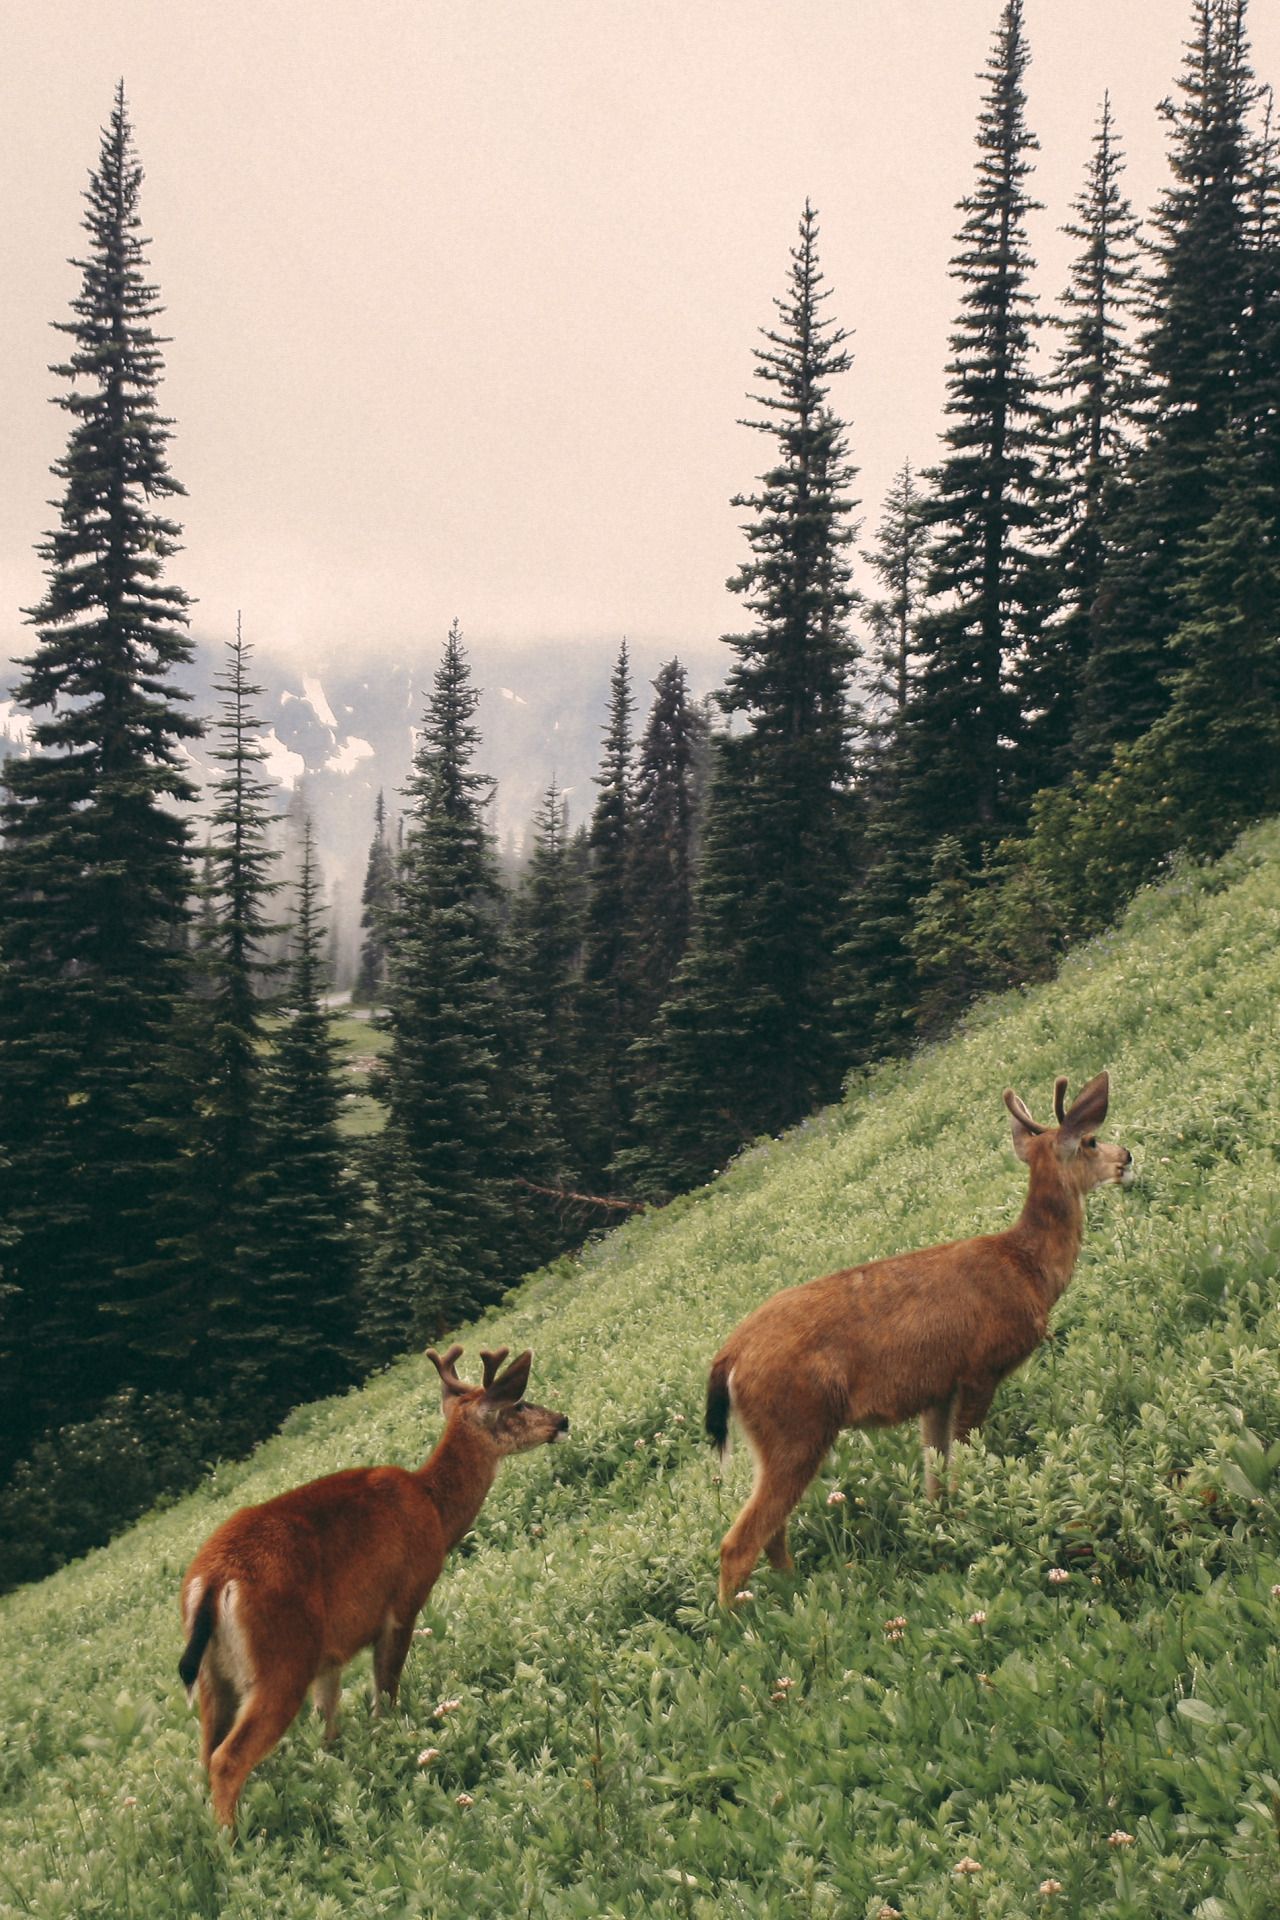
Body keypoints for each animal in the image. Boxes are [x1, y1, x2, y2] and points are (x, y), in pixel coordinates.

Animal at [177, 1344, 567, 1827]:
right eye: (519, 1404)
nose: (563, 1420)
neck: (436, 1510)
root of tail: (213, 1581)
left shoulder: (330, 1653)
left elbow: (329, 1724)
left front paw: (338, 1771)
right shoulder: (403, 1601)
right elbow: (385, 1694)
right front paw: (392, 1745)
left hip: (215, 1679)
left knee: (204, 1754)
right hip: (281, 1661)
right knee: (227, 1759)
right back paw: (233, 1842)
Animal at [705, 1073, 1133, 1606]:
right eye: (1092, 1141)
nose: (1127, 1157)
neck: (1028, 1269)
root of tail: (729, 1359)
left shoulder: (937, 1389)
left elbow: (934, 1473)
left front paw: (941, 1531)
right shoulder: (979, 1367)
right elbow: (963, 1460)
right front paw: (972, 1521)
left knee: (772, 1532)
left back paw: (798, 1594)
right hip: (796, 1426)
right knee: (739, 1543)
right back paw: (742, 1619)